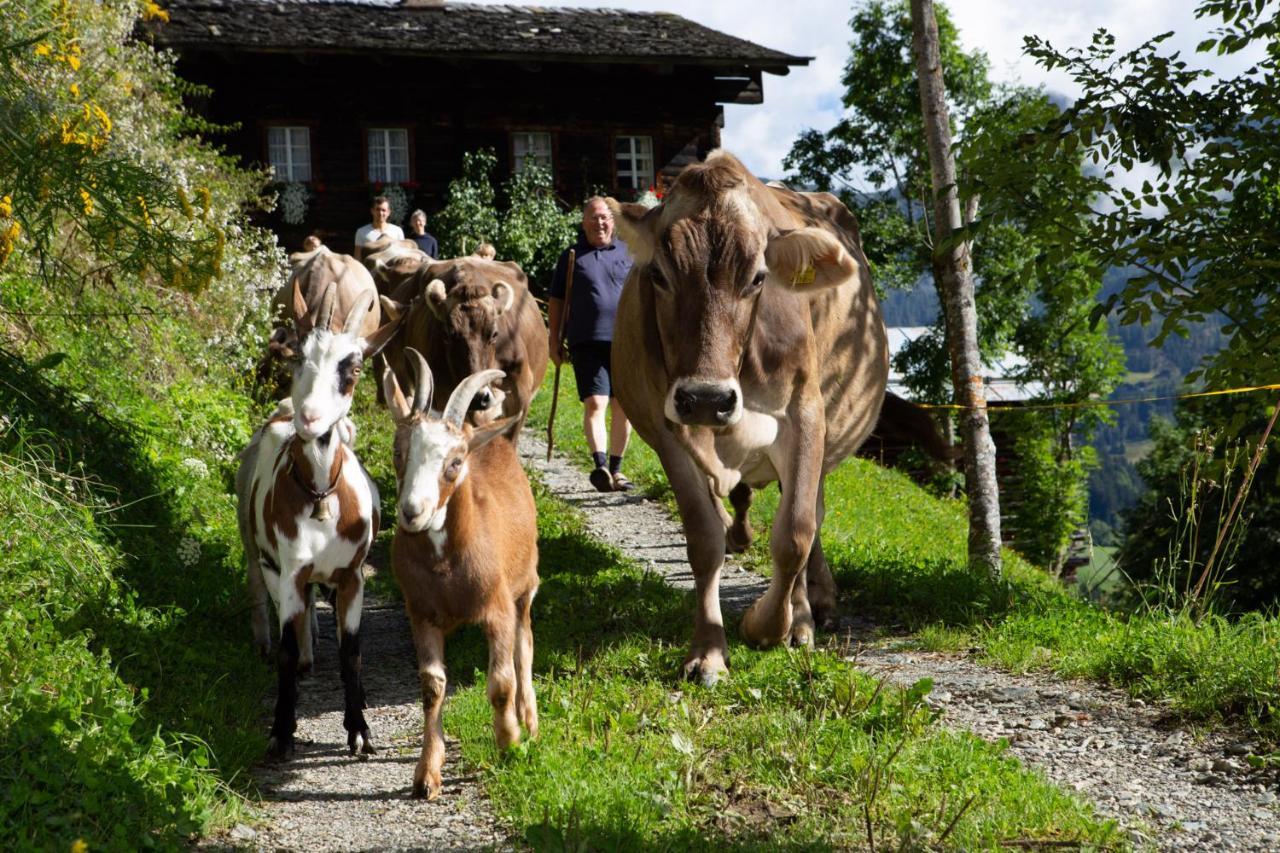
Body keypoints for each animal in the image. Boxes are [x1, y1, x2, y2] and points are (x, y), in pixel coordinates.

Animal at [235, 279, 399, 758]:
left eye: (354, 368)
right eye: (297, 356)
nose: (309, 418)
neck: (322, 496)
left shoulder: (352, 577)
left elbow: (353, 653)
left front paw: (360, 730)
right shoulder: (290, 573)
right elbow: (287, 651)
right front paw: (281, 731)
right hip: (257, 551)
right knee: (261, 590)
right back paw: (270, 645)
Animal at [609, 149, 890, 686]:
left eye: (758, 277)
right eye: (658, 275)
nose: (706, 399)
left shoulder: (804, 415)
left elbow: (795, 533)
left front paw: (768, 625)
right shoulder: (666, 427)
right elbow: (704, 539)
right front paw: (709, 652)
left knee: (812, 515)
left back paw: (810, 612)